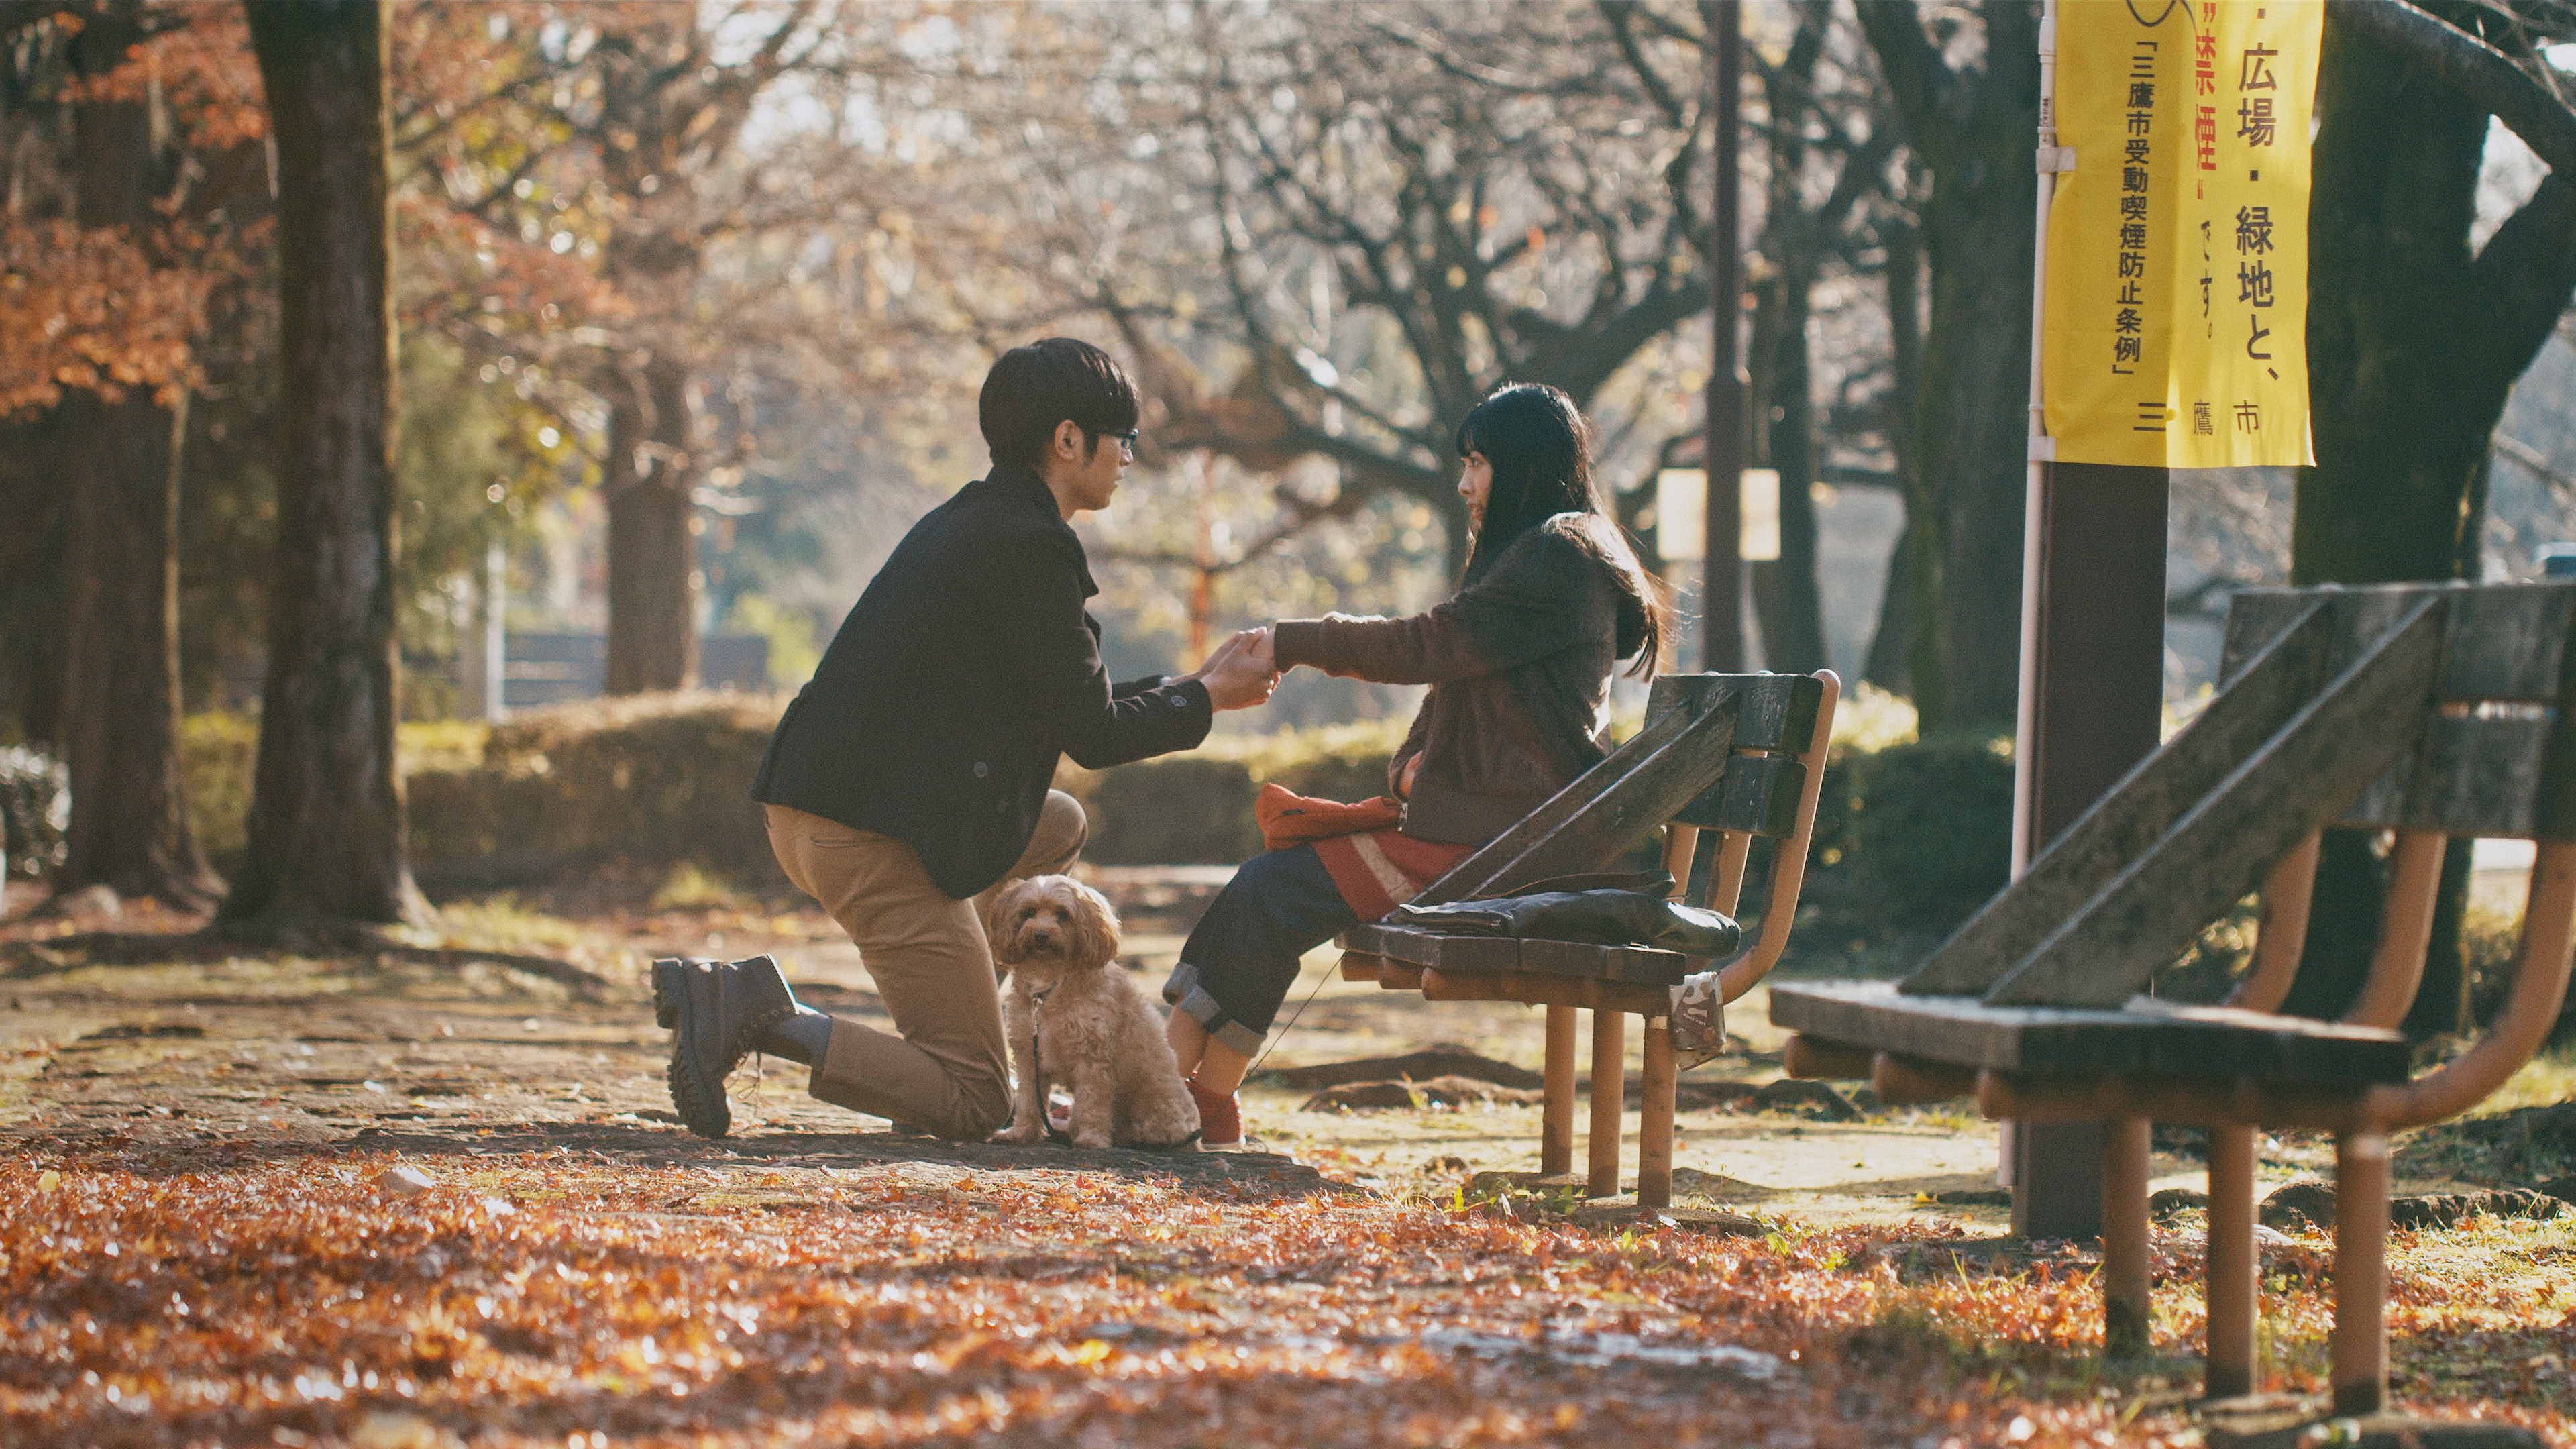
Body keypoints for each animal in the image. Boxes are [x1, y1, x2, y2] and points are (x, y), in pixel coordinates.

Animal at [989, 876, 1200, 1144]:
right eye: (1028, 912)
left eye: (1063, 914)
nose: (1041, 935)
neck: (1050, 984)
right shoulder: (1030, 1057)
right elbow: (1028, 1102)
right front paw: (1021, 1133)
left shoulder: (1092, 1059)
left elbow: (1092, 1104)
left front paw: (1091, 1139)